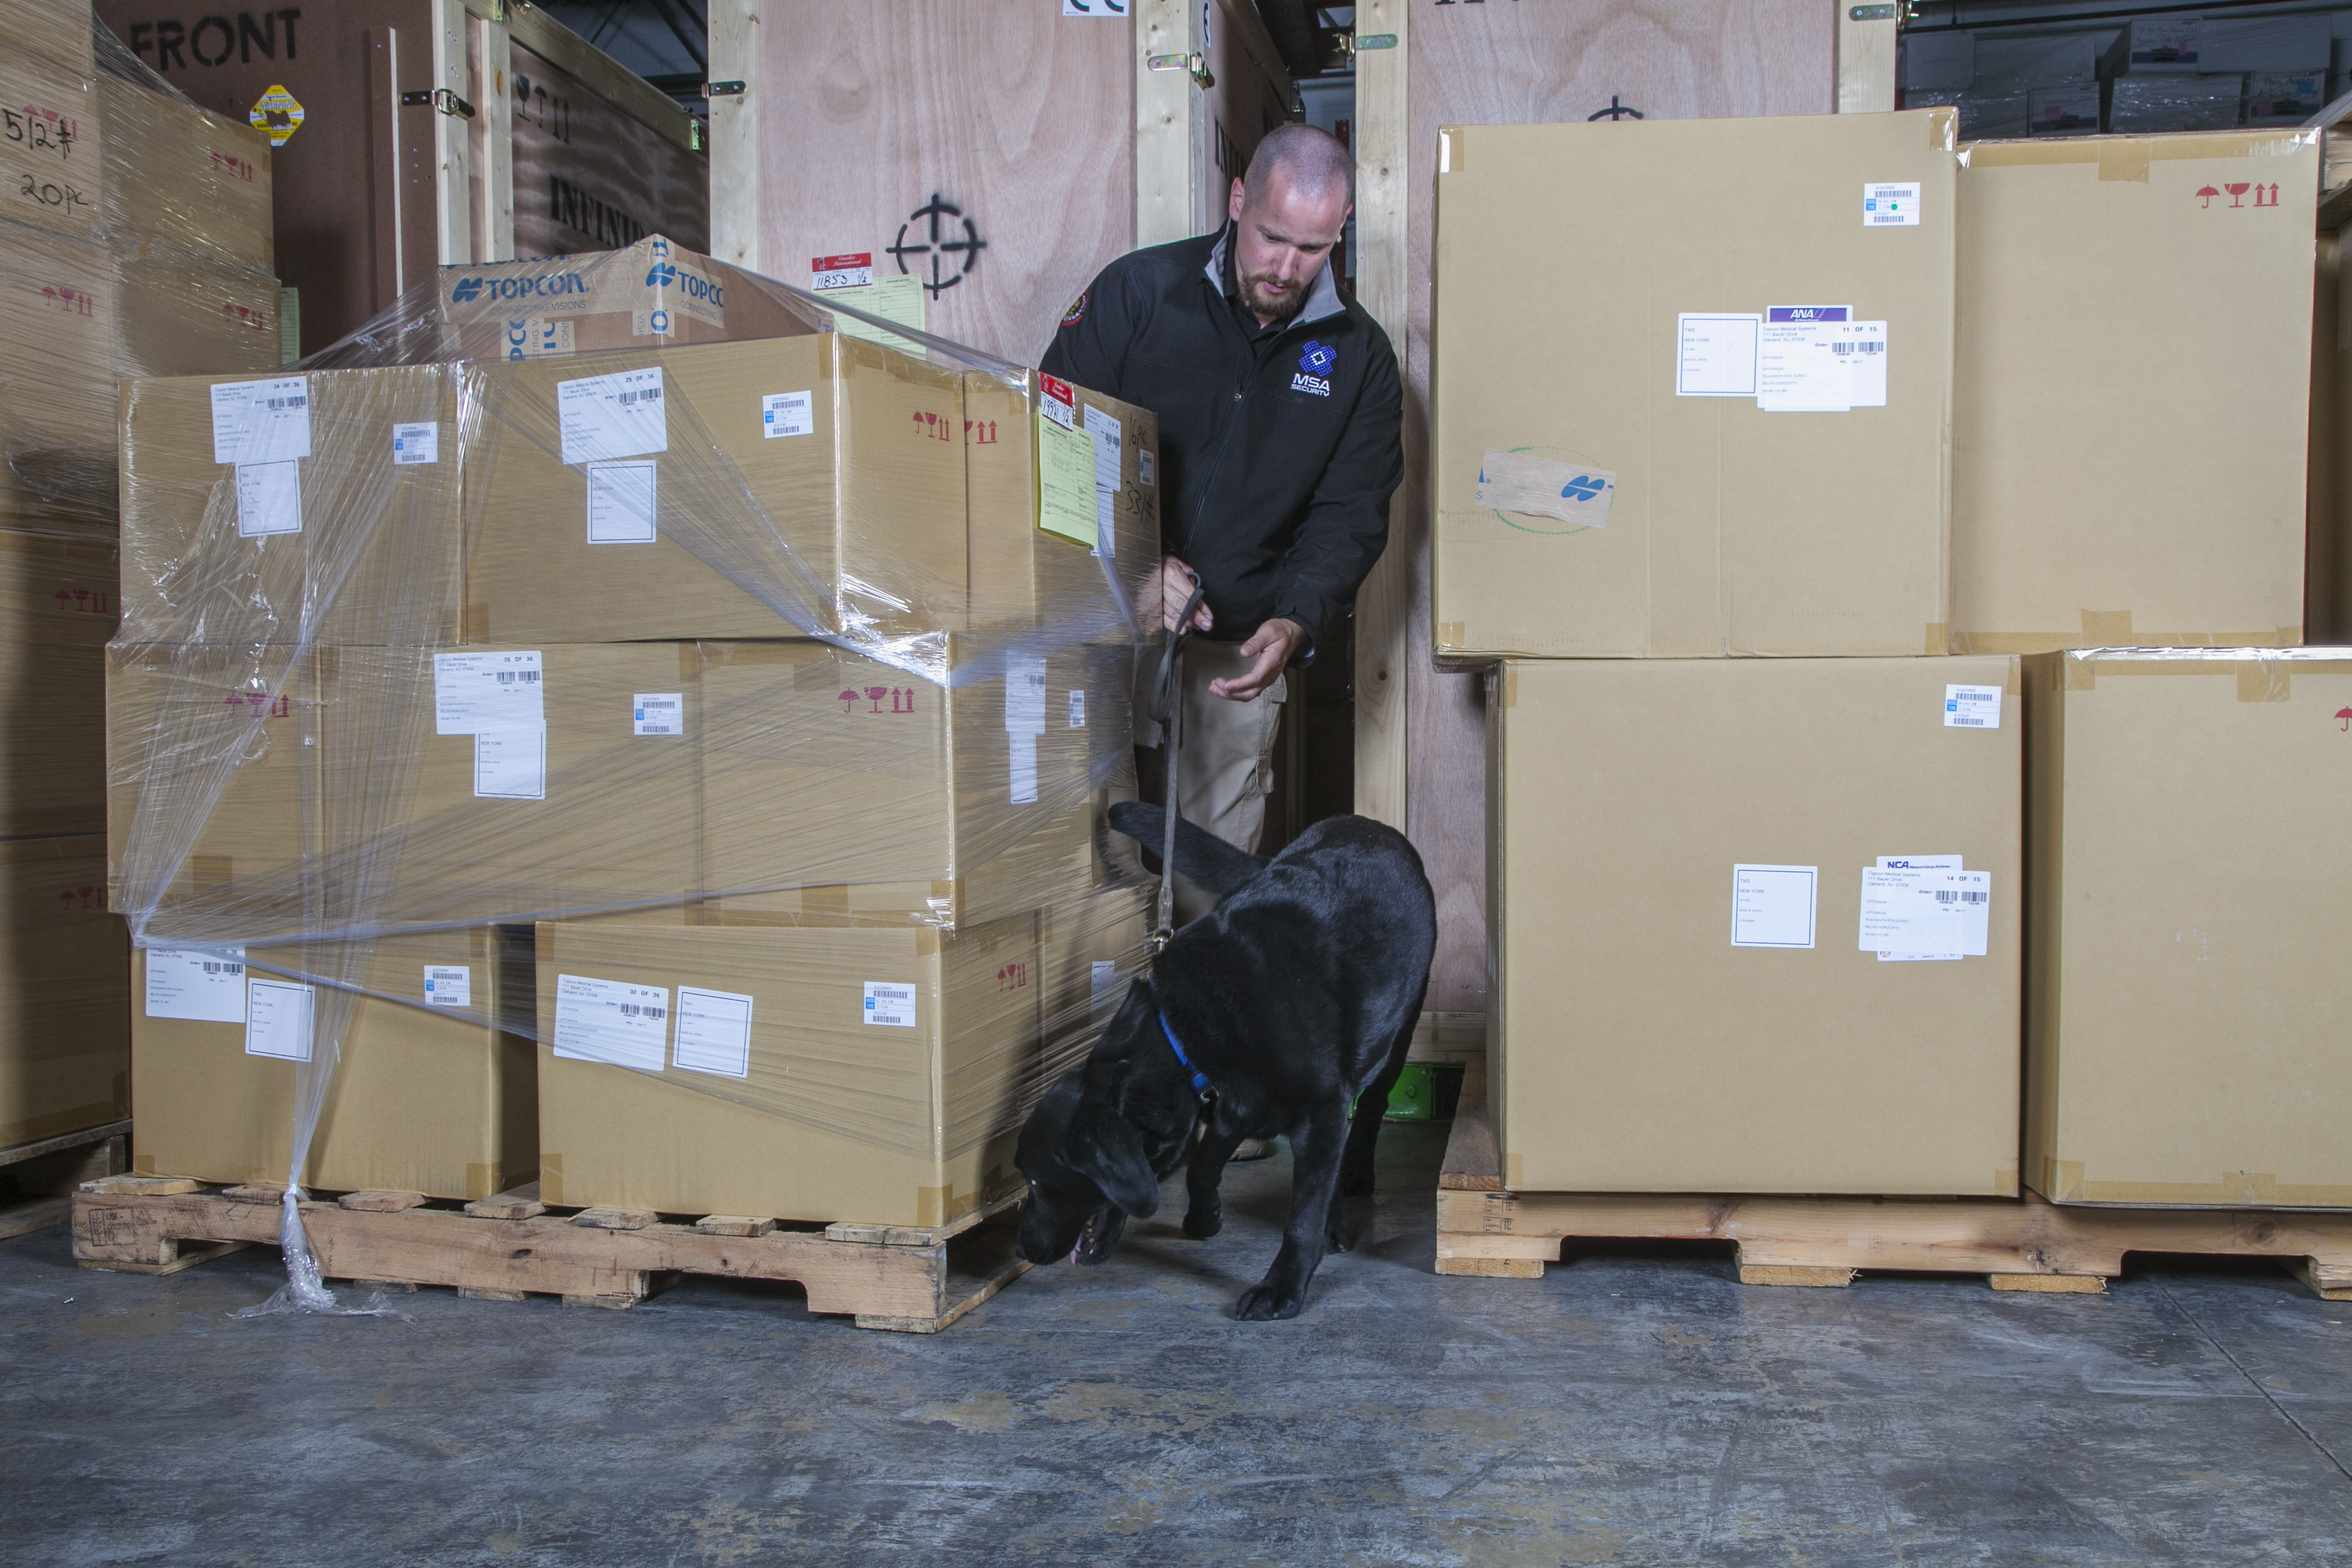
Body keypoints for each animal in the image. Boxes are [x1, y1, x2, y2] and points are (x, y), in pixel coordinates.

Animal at [1011, 804, 1430, 1316]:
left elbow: (1304, 1212)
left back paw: (1352, 1181)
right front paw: (1204, 1215)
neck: (1184, 1030)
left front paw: (1282, 1287)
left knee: (1369, 1111)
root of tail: (1364, 825)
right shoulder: (1233, 1104)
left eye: (1037, 1183)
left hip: (1399, 1033)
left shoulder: (1321, 1109)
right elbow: (1203, 1165)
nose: (1021, 1248)